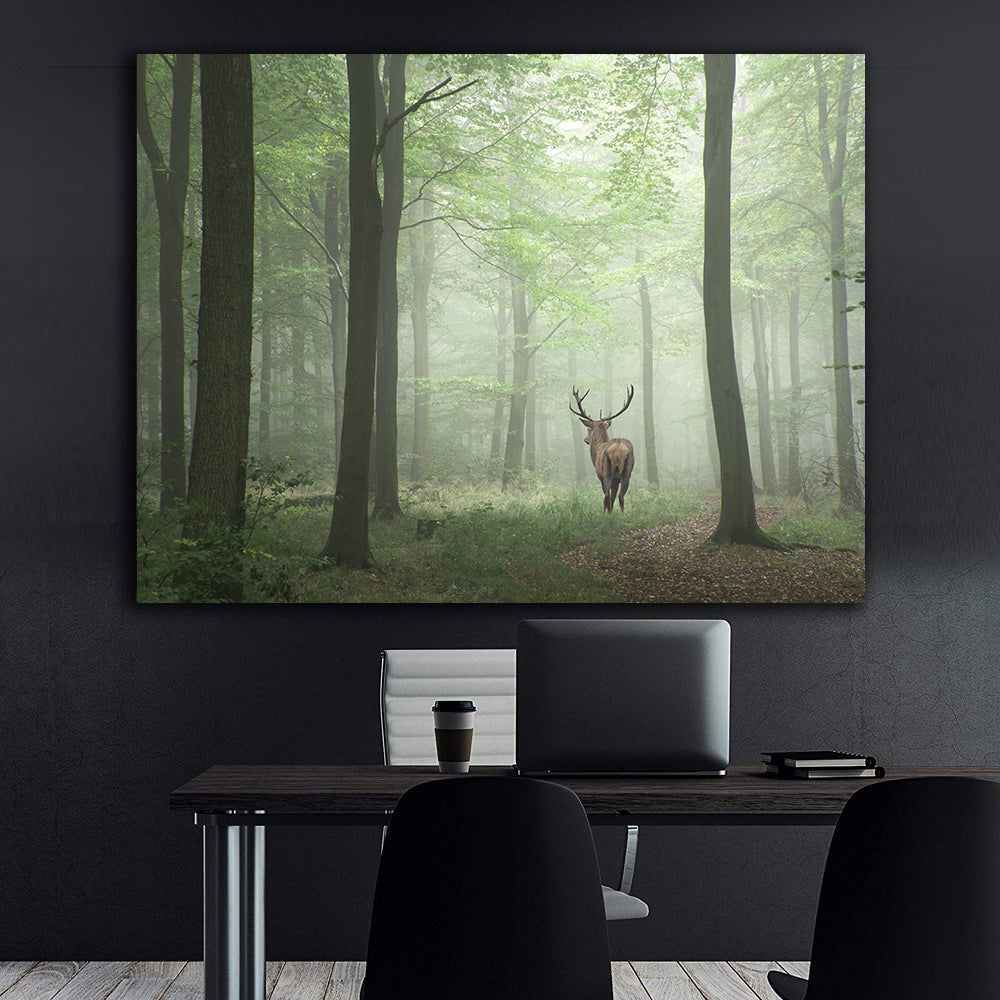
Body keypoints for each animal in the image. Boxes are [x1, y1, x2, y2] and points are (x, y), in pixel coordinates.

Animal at [570, 384, 636, 513]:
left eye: (588, 429)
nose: (586, 440)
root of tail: (618, 451)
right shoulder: (616, 481)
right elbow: (613, 499)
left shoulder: (600, 475)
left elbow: (608, 499)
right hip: (627, 472)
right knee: (621, 496)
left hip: (606, 472)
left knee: (606, 497)